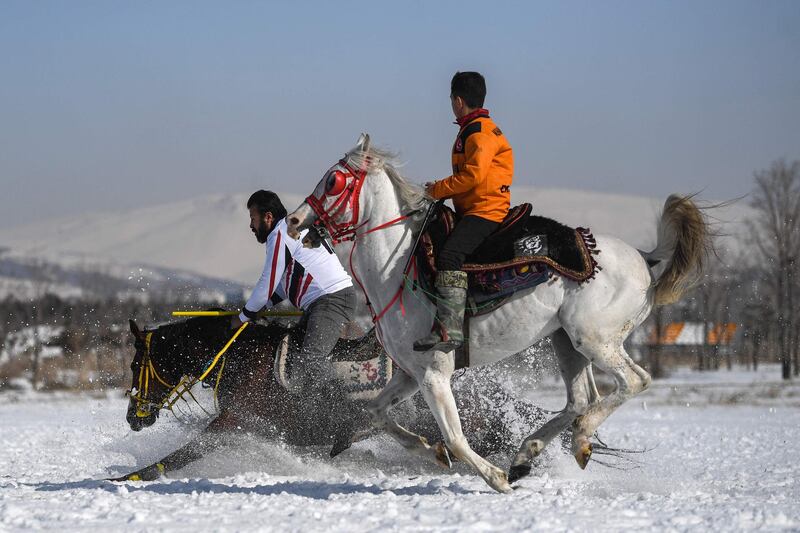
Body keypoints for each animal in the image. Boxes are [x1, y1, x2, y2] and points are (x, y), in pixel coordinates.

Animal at [114, 316, 552, 482]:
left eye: (136, 362)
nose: (134, 418)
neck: (237, 357)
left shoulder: (233, 425)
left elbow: (179, 455)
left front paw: (123, 478)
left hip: (480, 426)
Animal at [286, 135, 708, 492]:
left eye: (333, 181)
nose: (293, 220)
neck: (398, 266)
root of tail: (645, 257)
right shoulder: (410, 373)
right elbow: (376, 412)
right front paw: (429, 450)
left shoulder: (434, 374)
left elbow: (455, 437)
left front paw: (495, 477)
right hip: (566, 342)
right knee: (580, 399)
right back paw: (528, 454)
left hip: (596, 340)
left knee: (633, 382)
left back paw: (574, 440)